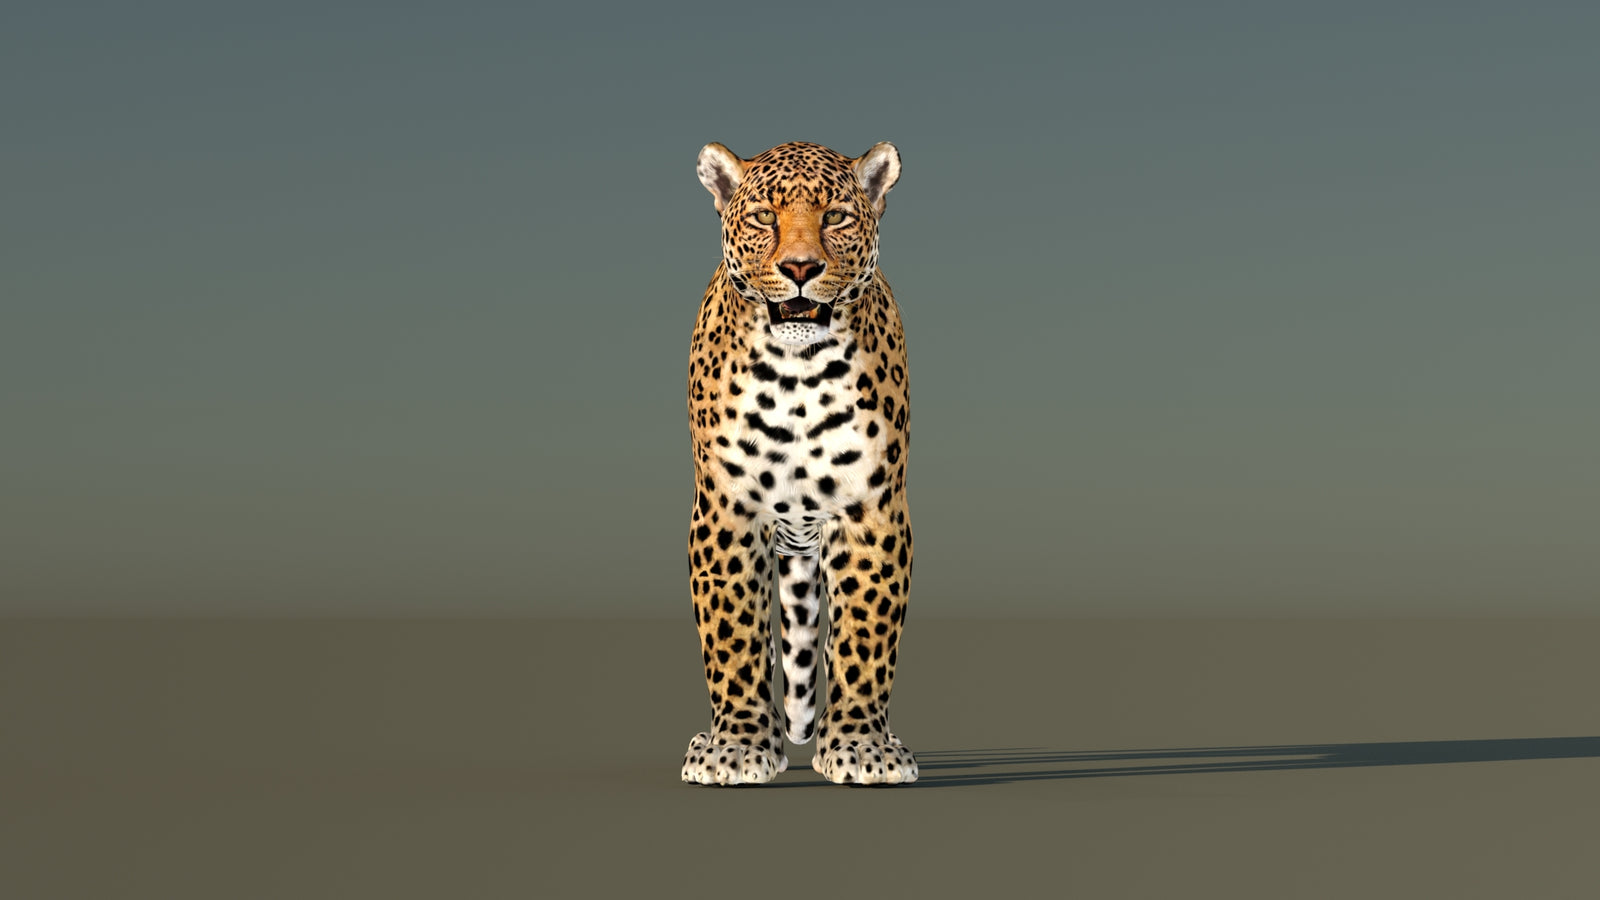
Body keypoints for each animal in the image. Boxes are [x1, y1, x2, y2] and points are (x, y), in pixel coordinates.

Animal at [681, 140, 917, 786]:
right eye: (764, 217)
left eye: (835, 216)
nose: (802, 268)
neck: (798, 374)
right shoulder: (726, 512)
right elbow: (733, 636)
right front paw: (736, 747)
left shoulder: (870, 510)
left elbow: (865, 636)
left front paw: (861, 746)